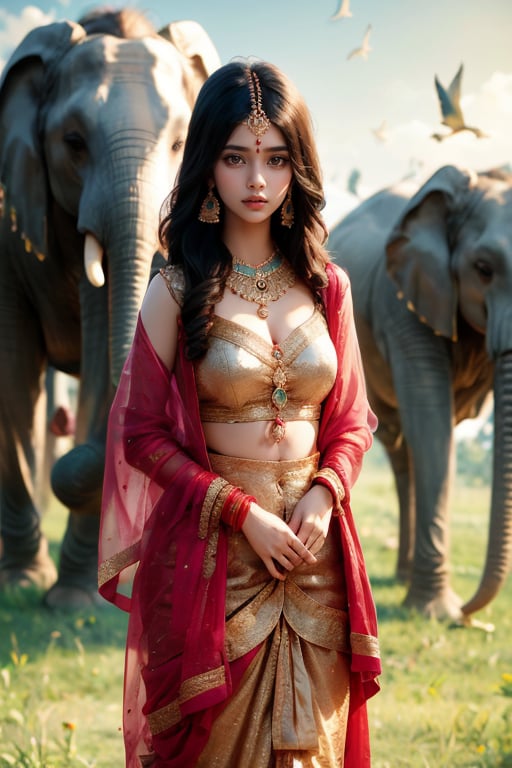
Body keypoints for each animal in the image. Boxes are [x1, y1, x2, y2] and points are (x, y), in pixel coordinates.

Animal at [328, 164, 512, 624]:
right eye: (483, 269)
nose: (468, 614)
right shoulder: (403, 301)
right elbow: (431, 416)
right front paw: (436, 613)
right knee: (403, 449)